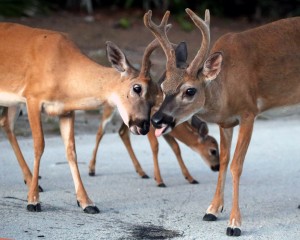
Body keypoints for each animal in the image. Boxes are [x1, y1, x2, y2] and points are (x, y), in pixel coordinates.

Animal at [0, 22, 161, 214]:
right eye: (137, 88)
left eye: (155, 95)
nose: (143, 126)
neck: (64, 73)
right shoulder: (33, 98)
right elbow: (39, 146)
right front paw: (33, 201)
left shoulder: (66, 110)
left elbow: (71, 152)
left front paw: (86, 202)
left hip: (12, 102)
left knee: (6, 123)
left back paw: (31, 181)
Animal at [88, 103, 219, 188]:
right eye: (213, 150)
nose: (217, 167)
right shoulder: (150, 126)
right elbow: (155, 146)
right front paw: (159, 180)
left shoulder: (166, 132)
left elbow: (176, 148)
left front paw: (191, 178)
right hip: (109, 109)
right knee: (100, 132)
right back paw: (91, 170)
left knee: (122, 133)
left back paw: (142, 172)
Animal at [142, 8, 300, 236]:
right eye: (163, 87)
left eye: (190, 91)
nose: (156, 119)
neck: (225, 88)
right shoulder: (226, 123)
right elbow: (224, 161)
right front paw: (213, 210)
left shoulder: (249, 112)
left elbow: (236, 165)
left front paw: (234, 223)